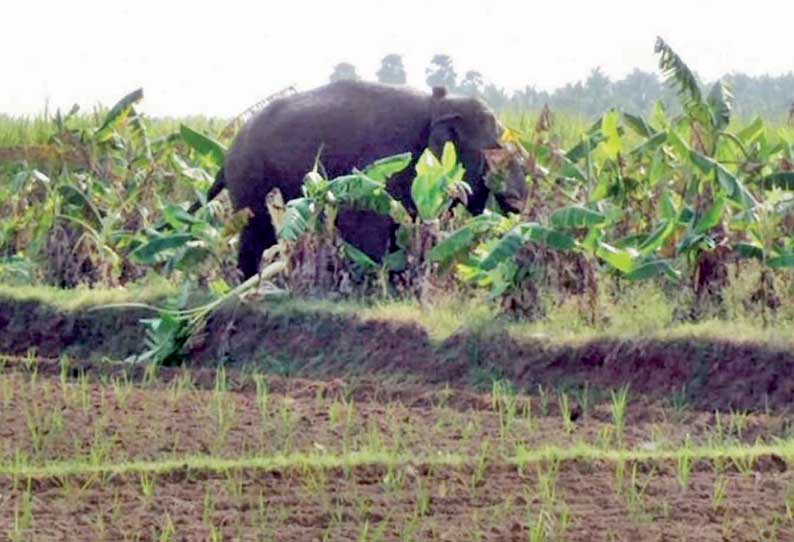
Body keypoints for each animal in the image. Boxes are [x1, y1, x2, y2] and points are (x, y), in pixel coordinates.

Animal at [192, 79, 524, 280]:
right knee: (255, 231)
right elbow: (364, 221)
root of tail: (228, 151)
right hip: (250, 180)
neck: (439, 103)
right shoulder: (379, 163)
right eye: (496, 149)